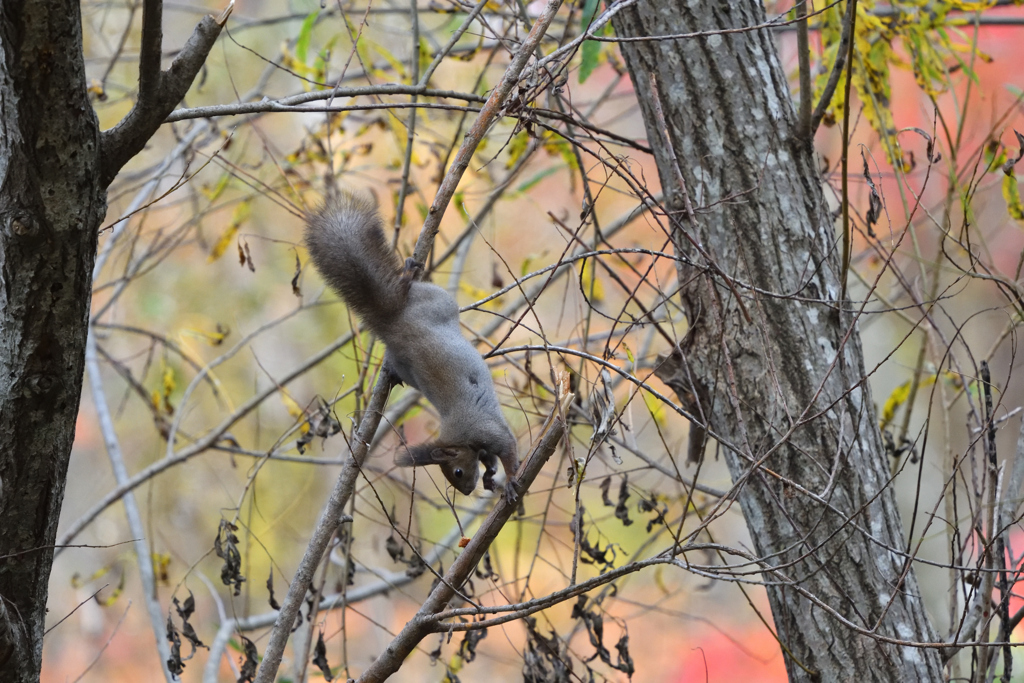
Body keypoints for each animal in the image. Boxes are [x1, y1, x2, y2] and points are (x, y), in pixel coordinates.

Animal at [303, 193, 520, 501]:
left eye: (456, 472)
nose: (467, 492)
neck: (460, 437)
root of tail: (392, 322)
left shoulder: (486, 431)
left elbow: (507, 449)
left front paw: (508, 479)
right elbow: (492, 456)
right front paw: (492, 475)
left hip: (434, 301)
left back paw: (407, 277)